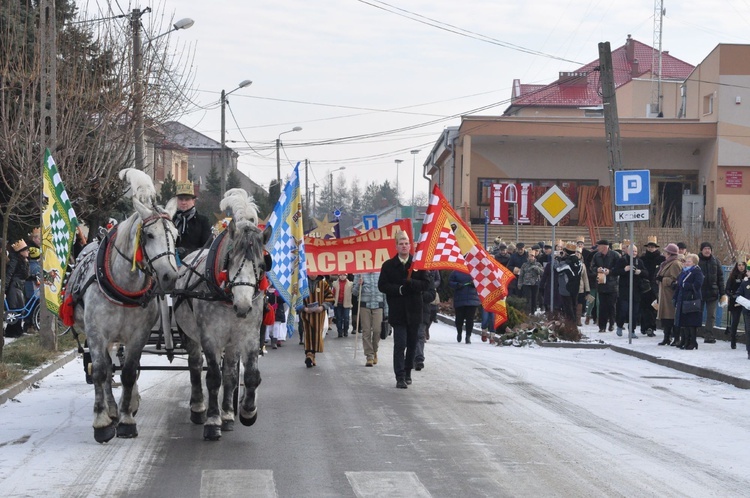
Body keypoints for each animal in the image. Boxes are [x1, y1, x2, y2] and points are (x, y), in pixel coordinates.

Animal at [66, 169, 179, 442]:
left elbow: (128, 372)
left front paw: (127, 419)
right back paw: (110, 410)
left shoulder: (138, 334)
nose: (170, 277)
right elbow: (99, 371)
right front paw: (102, 422)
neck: (122, 285)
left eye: (176, 235)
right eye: (149, 235)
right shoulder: (96, 333)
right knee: (106, 369)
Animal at [175, 190, 272, 440]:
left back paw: (228, 415)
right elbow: (212, 377)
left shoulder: (248, 336)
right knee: (195, 365)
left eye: (262, 264)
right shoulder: (210, 337)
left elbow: (249, 375)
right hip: (191, 336)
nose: (243, 307)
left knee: (229, 372)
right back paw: (199, 408)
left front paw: (247, 412)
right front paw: (212, 421)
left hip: (232, 341)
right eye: (231, 260)